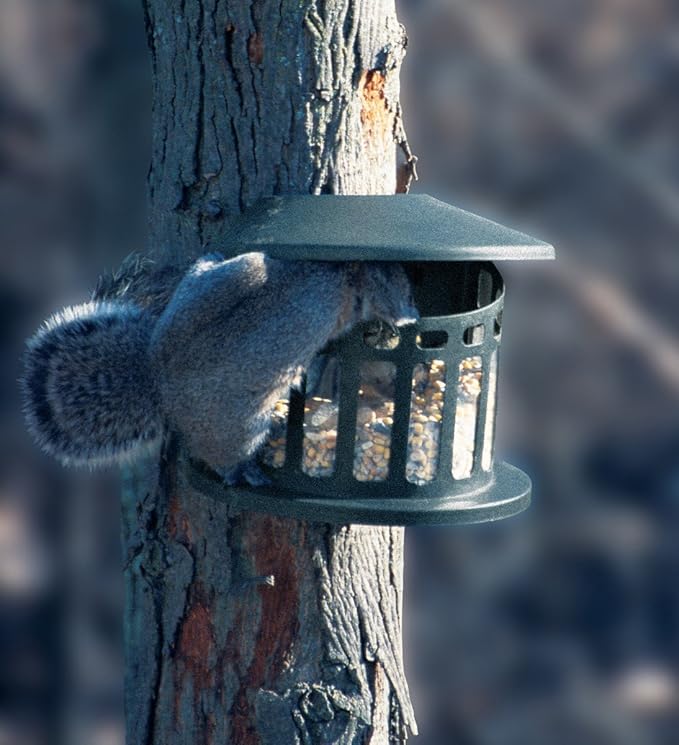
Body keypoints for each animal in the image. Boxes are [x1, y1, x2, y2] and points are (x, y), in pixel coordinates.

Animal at [21, 251, 418, 484]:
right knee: (224, 457)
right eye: (403, 286)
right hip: (237, 427)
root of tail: (158, 384)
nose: (413, 311)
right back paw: (244, 471)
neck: (342, 274)